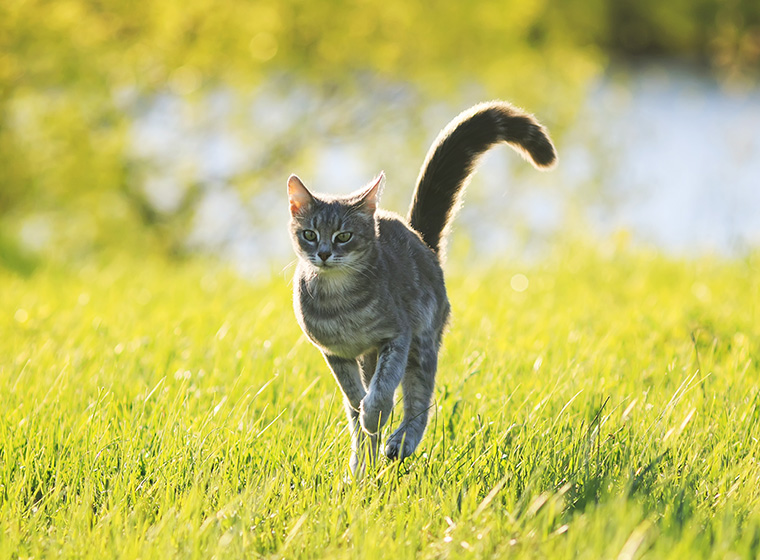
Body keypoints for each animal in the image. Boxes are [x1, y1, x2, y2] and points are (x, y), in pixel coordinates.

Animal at [288, 100, 556, 472]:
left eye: (344, 236)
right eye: (309, 234)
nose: (324, 253)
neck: (340, 303)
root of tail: (421, 240)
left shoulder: (396, 336)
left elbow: (383, 389)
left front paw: (376, 413)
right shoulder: (335, 353)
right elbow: (354, 398)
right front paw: (364, 423)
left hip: (423, 343)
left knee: (420, 400)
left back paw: (401, 441)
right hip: (374, 356)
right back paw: (362, 465)